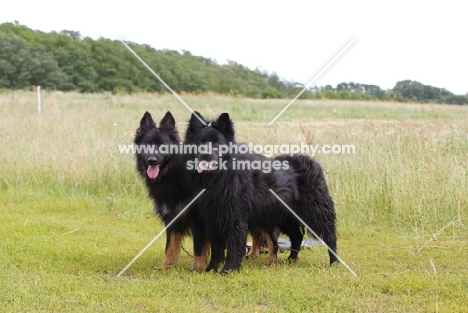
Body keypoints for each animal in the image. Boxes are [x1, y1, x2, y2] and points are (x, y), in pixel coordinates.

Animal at [134, 111, 209, 270]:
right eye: (147, 144)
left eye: (163, 145)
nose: (152, 160)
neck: (174, 174)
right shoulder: (171, 216)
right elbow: (170, 246)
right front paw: (165, 266)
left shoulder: (197, 219)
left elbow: (198, 247)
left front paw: (197, 268)